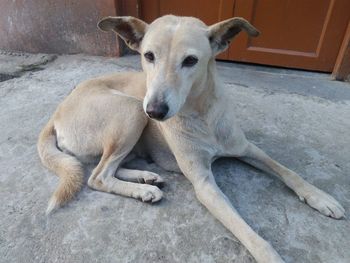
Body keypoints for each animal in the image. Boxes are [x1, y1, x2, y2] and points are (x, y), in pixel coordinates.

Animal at [38, 14, 344, 263]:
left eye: (190, 61)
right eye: (149, 56)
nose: (155, 111)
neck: (202, 113)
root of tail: (56, 113)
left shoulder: (246, 148)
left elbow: (289, 172)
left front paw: (321, 197)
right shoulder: (204, 184)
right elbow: (246, 230)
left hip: (133, 120)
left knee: (109, 167)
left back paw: (146, 179)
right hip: (131, 110)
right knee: (97, 176)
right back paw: (143, 189)